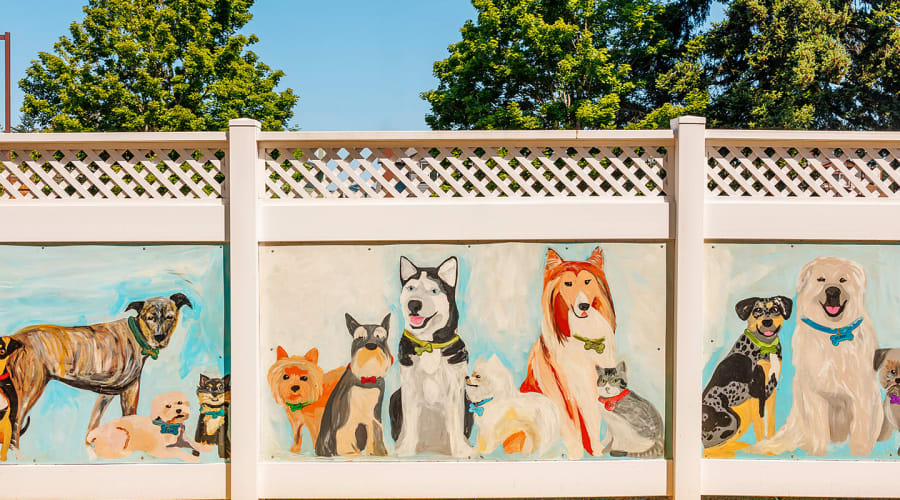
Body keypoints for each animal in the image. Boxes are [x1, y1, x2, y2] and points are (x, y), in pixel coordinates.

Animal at [8, 292, 192, 448]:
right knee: (14, 430)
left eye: (170, 317)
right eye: (150, 318)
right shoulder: (126, 392)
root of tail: (14, 338)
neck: (136, 334)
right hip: (28, 393)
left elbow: (93, 427)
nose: (159, 337)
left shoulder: (109, 394)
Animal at [316, 314, 394, 458]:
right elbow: (345, 431)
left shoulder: (374, 416)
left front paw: (378, 452)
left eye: (380, 336)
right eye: (359, 337)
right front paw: (349, 451)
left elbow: (376, 430)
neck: (366, 377)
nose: (371, 345)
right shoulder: (346, 416)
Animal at [516, 248, 616, 458]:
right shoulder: (565, 386)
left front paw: (596, 450)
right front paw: (576, 454)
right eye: (568, 283)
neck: (584, 336)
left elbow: (593, 421)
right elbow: (574, 424)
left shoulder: (594, 385)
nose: (584, 306)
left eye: (587, 281)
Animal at [748, 258, 884, 458]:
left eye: (843, 280)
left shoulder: (862, 391)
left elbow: (861, 425)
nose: (833, 291)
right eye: (821, 279)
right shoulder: (814, 392)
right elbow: (819, 427)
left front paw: (860, 452)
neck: (834, 334)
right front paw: (818, 452)